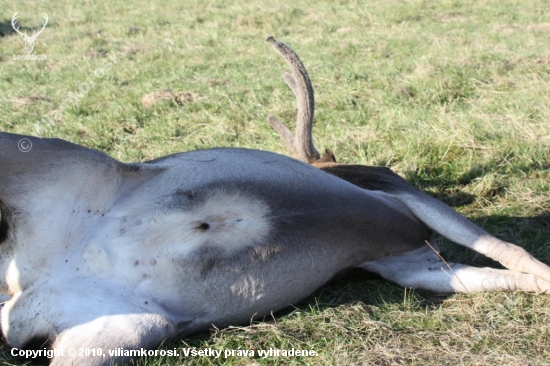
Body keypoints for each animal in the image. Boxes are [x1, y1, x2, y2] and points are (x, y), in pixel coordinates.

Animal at [1, 36, 550, 366]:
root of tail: (29, 282)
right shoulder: (389, 184)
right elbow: (502, 245)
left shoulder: (408, 261)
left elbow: (493, 272)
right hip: (57, 160)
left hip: (123, 330)